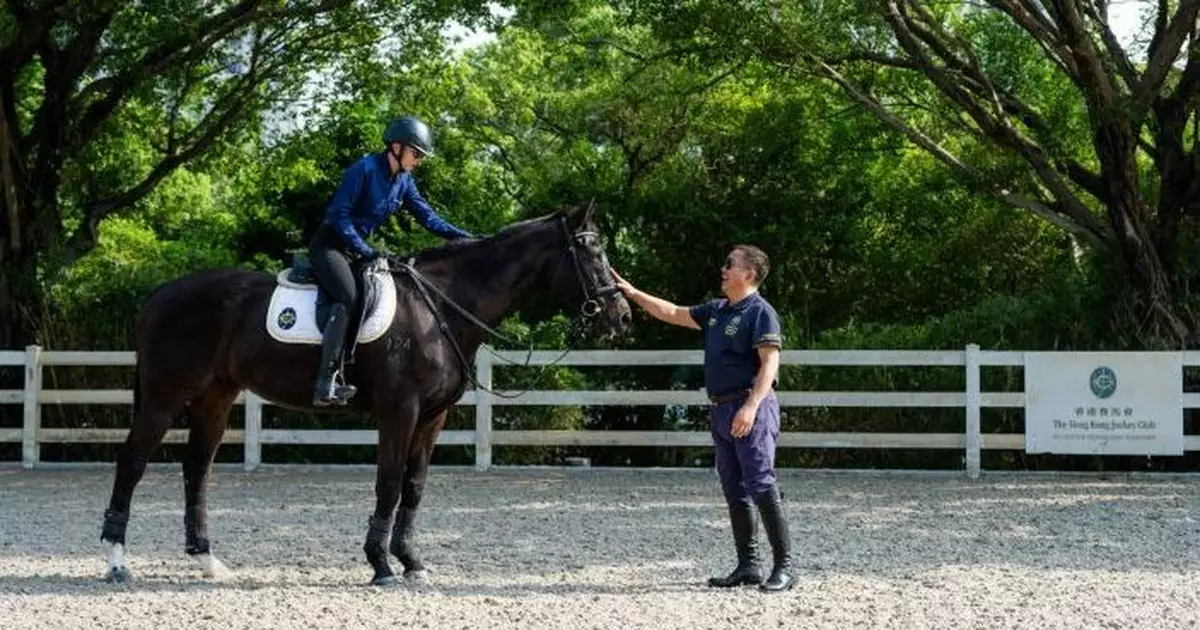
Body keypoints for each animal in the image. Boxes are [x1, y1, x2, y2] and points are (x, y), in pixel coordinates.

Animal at [98, 206, 633, 585]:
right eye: (592, 253)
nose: (622, 315)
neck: (439, 306)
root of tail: (160, 293)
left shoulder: (433, 417)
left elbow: (414, 488)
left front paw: (411, 560)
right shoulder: (399, 411)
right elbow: (389, 485)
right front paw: (380, 565)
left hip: (216, 397)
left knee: (197, 470)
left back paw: (209, 561)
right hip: (165, 397)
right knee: (132, 464)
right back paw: (117, 563)